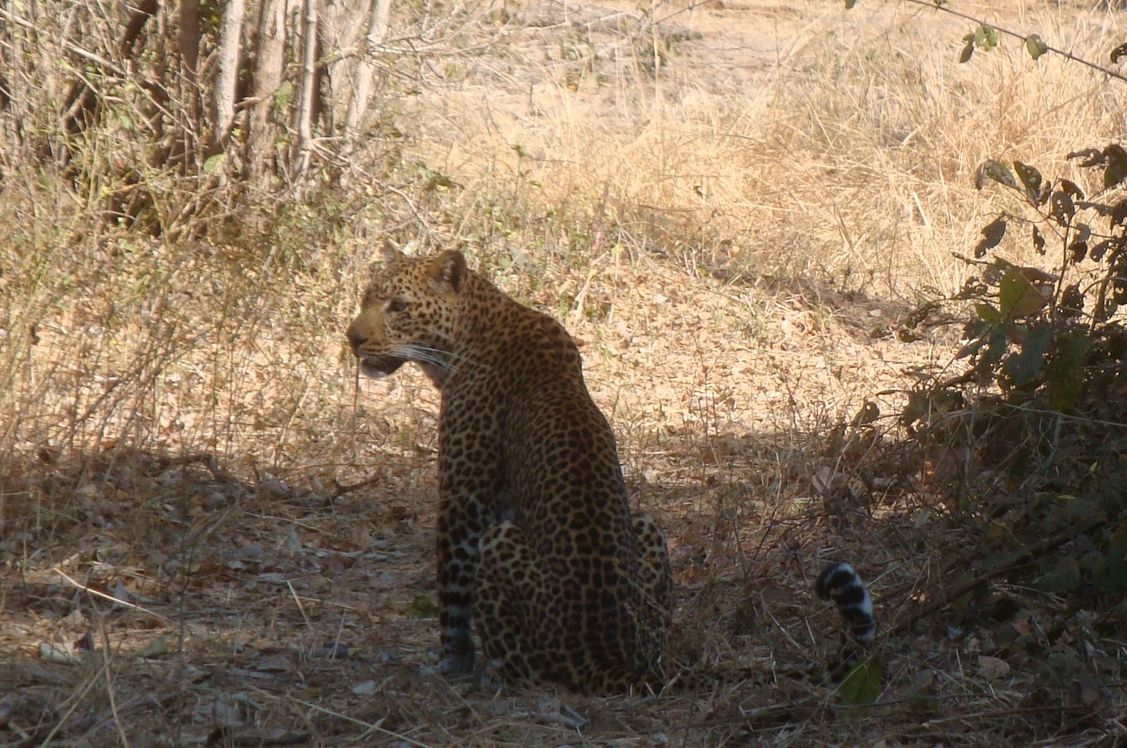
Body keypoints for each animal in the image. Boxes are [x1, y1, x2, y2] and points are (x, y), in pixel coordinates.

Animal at [347, 246, 874, 693]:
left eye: (397, 305)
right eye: (366, 297)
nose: (352, 338)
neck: (471, 329)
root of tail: (611, 656)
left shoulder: (465, 500)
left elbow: (451, 594)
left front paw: (450, 665)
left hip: (502, 545)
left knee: (525, 668)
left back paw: (495, 677)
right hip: (645, 529)